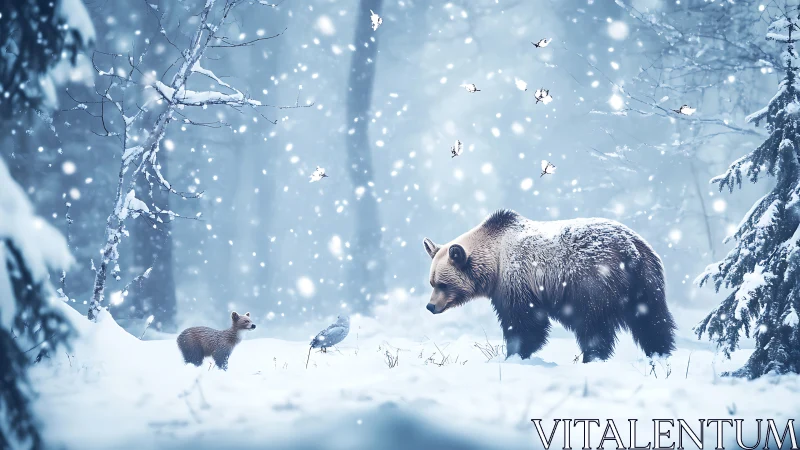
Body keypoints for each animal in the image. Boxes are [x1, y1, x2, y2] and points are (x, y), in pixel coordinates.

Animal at [422, 209, 676, 363]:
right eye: (432, 282)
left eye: (443, 284)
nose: (430, 306)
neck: (494, 259)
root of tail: (631, 250)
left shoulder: (516, 278)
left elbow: (524, 322)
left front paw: (515, 353)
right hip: (647, 279)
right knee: (652, 320)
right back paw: (660, 352)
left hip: (593, 280)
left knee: (594, 325)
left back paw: (592, 357)